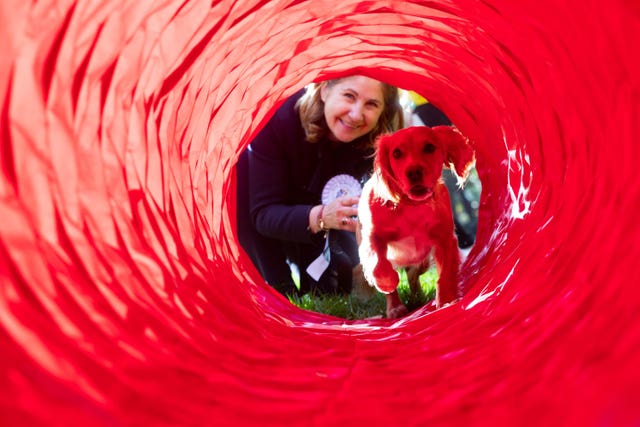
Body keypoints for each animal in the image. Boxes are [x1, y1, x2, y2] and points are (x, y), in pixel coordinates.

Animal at [360, 125, 476, 320]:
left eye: (429, 147)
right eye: (396, 153)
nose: (414, 172)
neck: (412, 206)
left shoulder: (445, 239)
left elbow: (445, 274)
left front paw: (446, 301)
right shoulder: (372, 239)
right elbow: (380, 266)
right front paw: (388, 283)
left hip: (422, 263)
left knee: (414, 275)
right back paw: (395, 308)